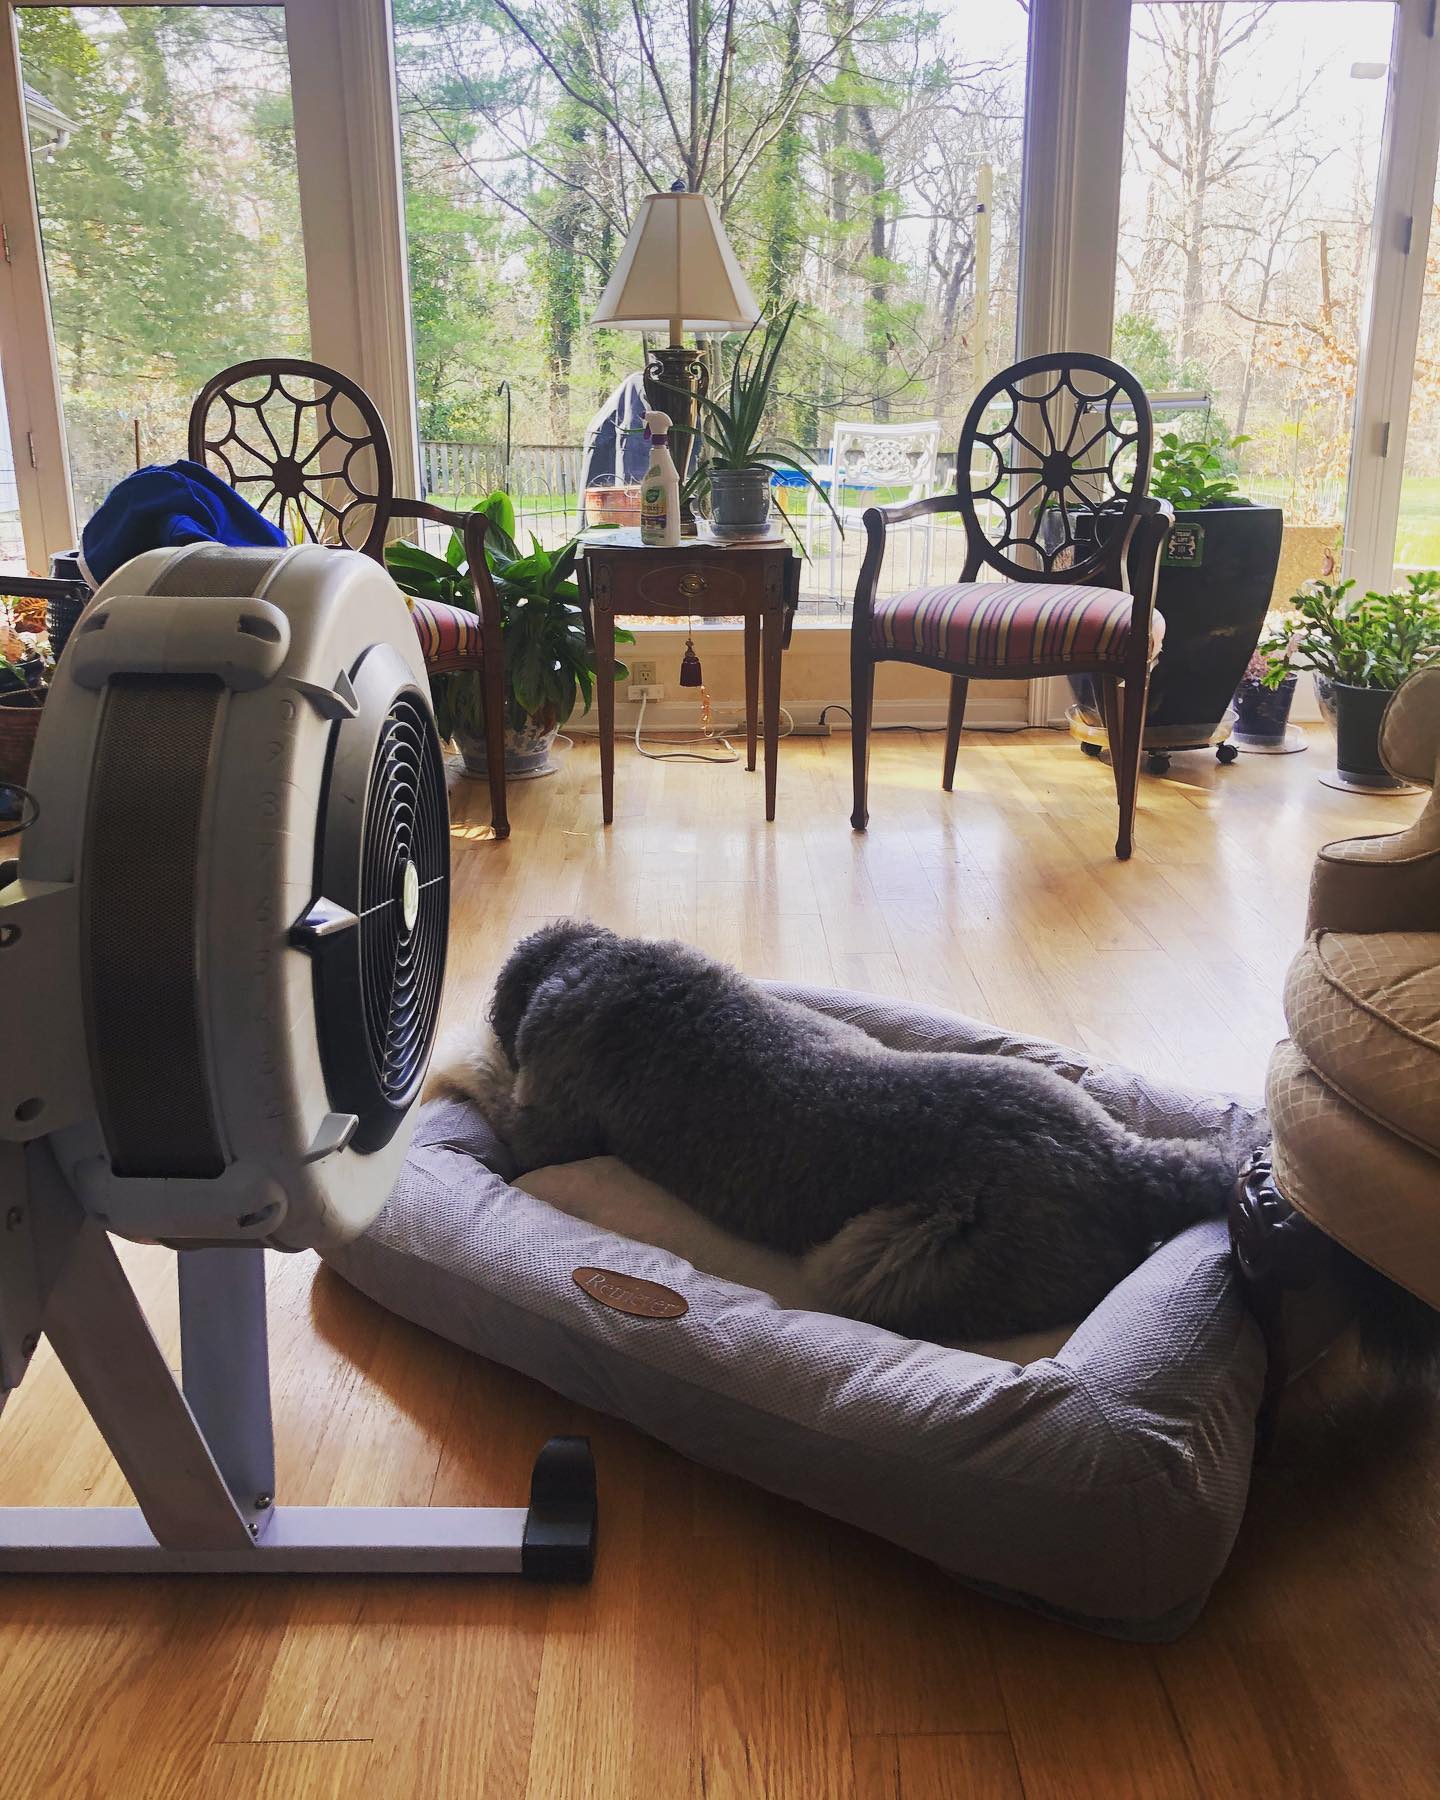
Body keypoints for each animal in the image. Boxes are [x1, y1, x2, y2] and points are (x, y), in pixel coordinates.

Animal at [440, 920, 1238, 1341]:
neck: (607, 964)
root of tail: (1125, 1163)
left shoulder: (544, 1132)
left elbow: (482, 1071)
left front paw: (448, 1061)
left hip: (880, 1259)